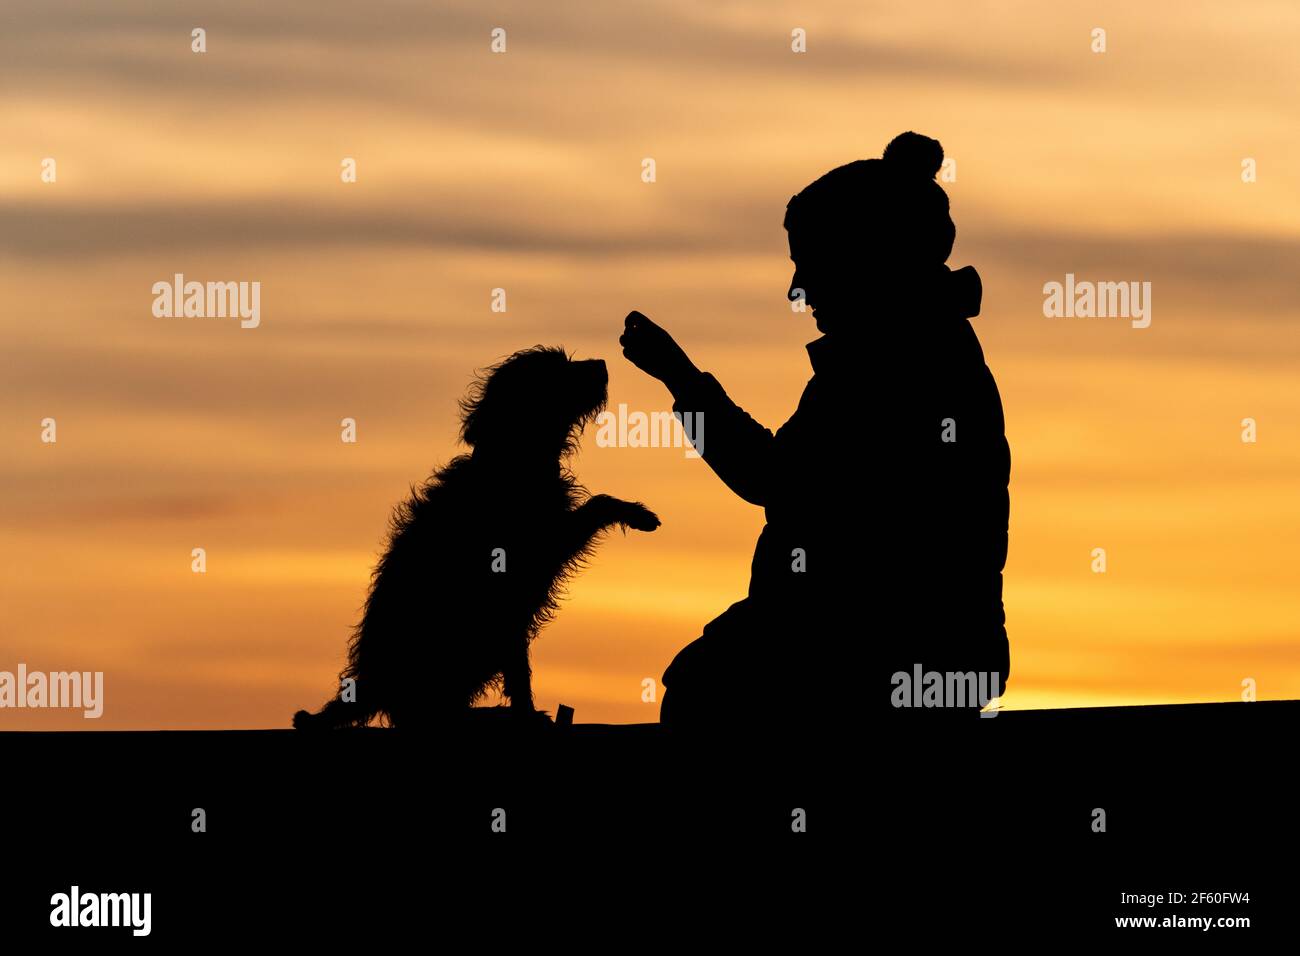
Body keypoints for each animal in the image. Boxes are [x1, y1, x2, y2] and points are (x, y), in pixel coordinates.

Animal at [295, 348, 660, 728]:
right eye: (556, 368)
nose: (602, 364)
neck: (512, 460)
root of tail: (371, 685)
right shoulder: (540, 553)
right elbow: (597, 503)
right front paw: (637, 514)